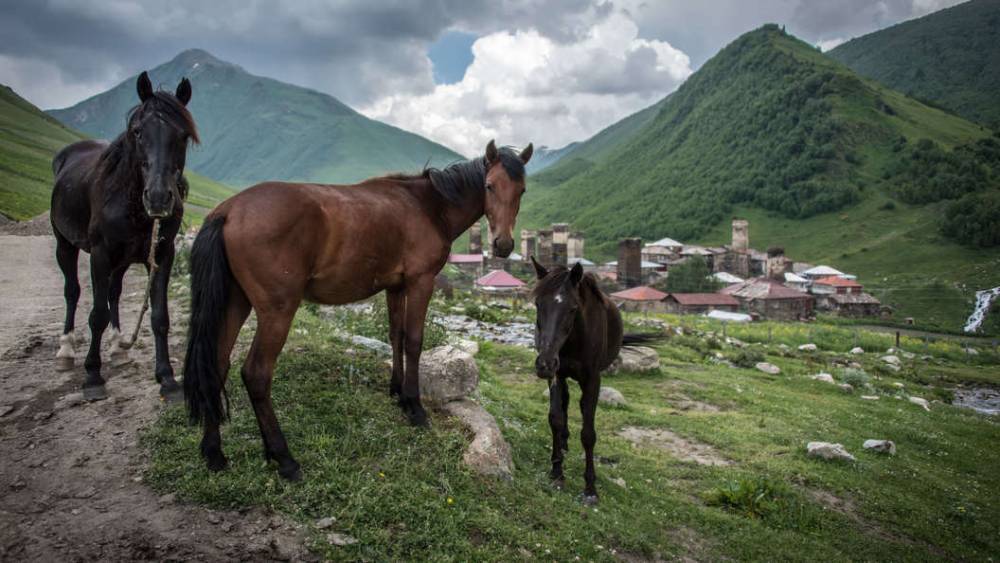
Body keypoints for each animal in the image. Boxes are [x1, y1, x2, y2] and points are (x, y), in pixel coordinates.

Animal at [50, 72, 197, 404]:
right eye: (138, 132)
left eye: (183, 135)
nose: (159, 198)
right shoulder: (100, 254)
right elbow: (97, 315)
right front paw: (93, 376)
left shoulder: (162, 255)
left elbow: (159, 317)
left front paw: (168, 379)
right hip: (65, 244)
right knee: (72, 291)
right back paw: (65, 350)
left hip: (122, 260)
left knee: (114, 293)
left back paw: (119, 348)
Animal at [185, 140, 536, 480]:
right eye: (489, 185)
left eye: (522, 190)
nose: (503, 245)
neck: (429, 206)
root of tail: (228, 211)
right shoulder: (420, 282)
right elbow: (414, 341)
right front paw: (415, 407)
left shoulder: (396, 287)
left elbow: (396, 336)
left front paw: (397, 392)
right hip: (276, 312)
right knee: (256, 374)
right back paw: (284, 458)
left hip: (235, 302)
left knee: (216, 364)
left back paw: (214, 452)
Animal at [528, 258, 620, 504]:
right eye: (538, 304)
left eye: (572, 309)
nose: (544, 364)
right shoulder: (557, 375)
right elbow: (556, 418)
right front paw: (557, 472)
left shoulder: (593, 379)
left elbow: (588, 434)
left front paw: (590, 488)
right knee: (566, 404)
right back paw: (563, 443)